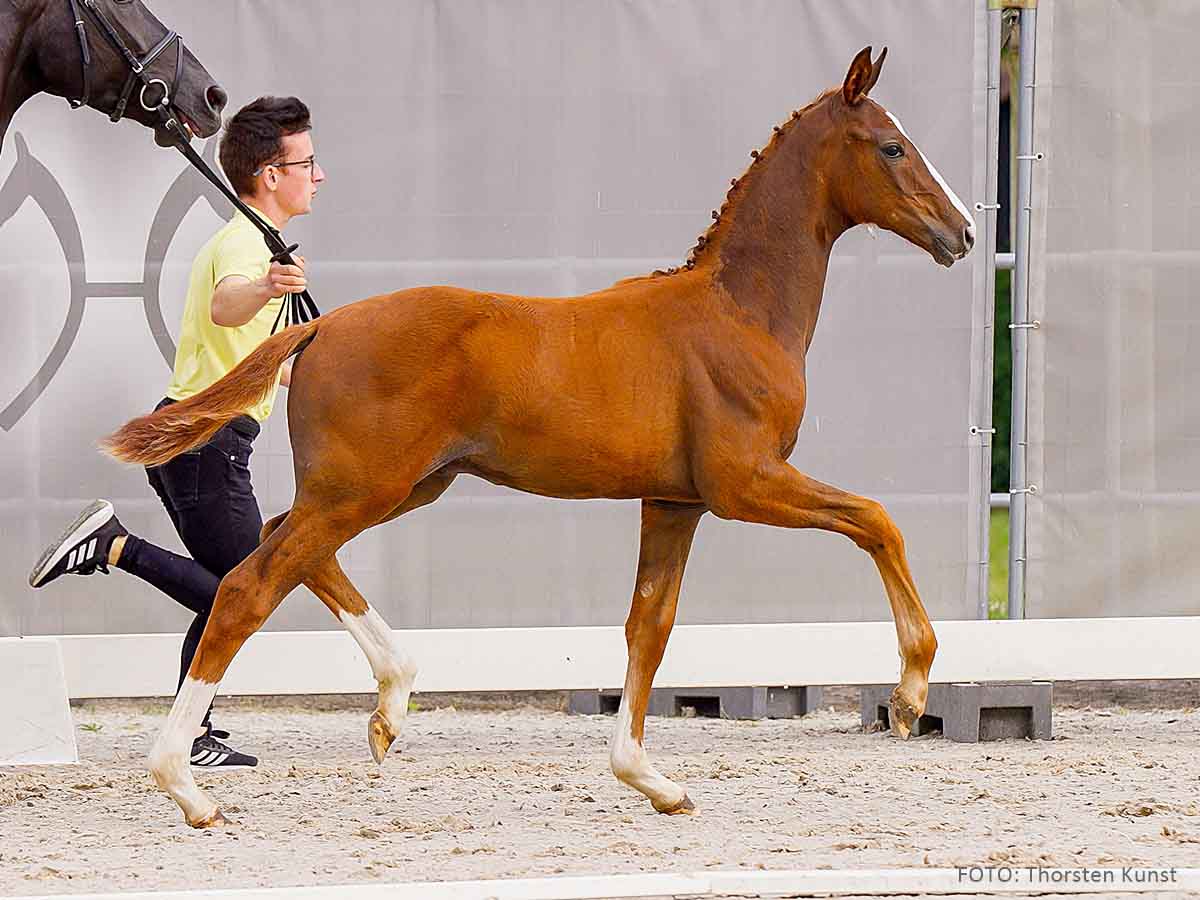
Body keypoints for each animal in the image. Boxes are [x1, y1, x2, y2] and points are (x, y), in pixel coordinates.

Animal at [104, 47, 975, 827]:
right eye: (892, 146)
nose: (962, 233)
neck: (739, 312)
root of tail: (319, 327)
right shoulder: (745, 483)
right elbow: (877, 522)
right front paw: (910, 695)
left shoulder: (675, 504)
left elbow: (649, 628)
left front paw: (651, 780)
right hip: (364, 489)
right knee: (249, 586)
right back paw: (187, 787)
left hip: (397, 487)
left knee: (285, 544)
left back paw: (391, 705)